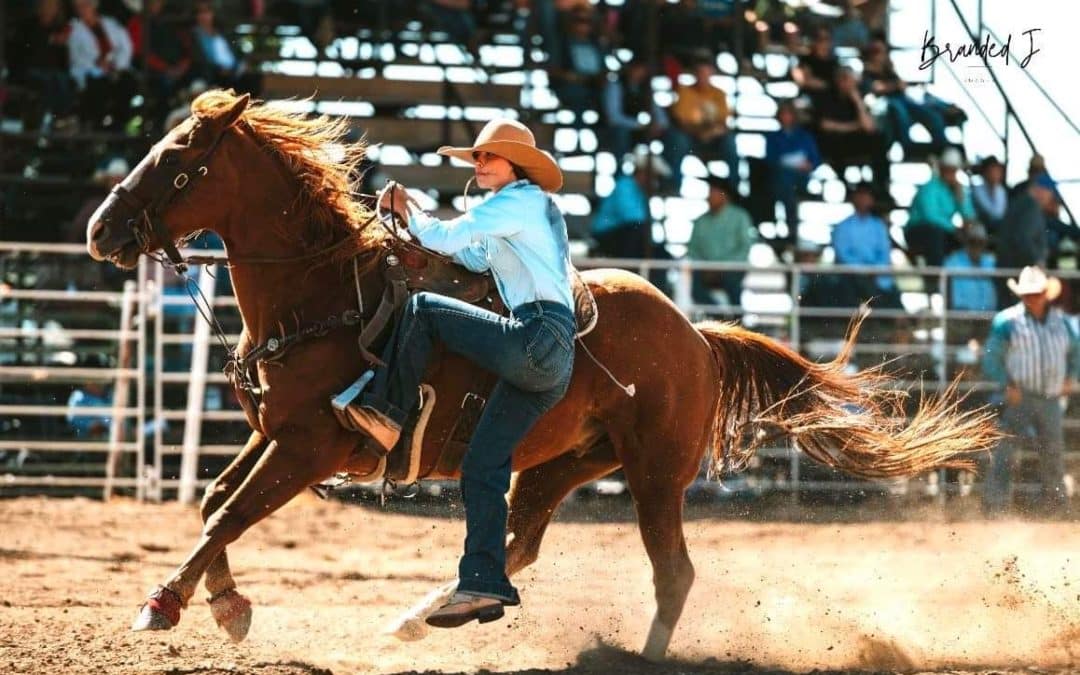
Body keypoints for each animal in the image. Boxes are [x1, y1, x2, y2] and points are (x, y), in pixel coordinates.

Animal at [86, 89, 993, 656]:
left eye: (180, 159)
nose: (100, 229)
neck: (326, 294)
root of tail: (696, 337)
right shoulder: (276, 433)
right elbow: (214, 501)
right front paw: (228, 604)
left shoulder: (311, 447)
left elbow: (231, 512)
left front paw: (164, 603)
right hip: (563, 460)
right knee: (517, 543)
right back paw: (425, 615)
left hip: (654, 472)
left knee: (671, 572)